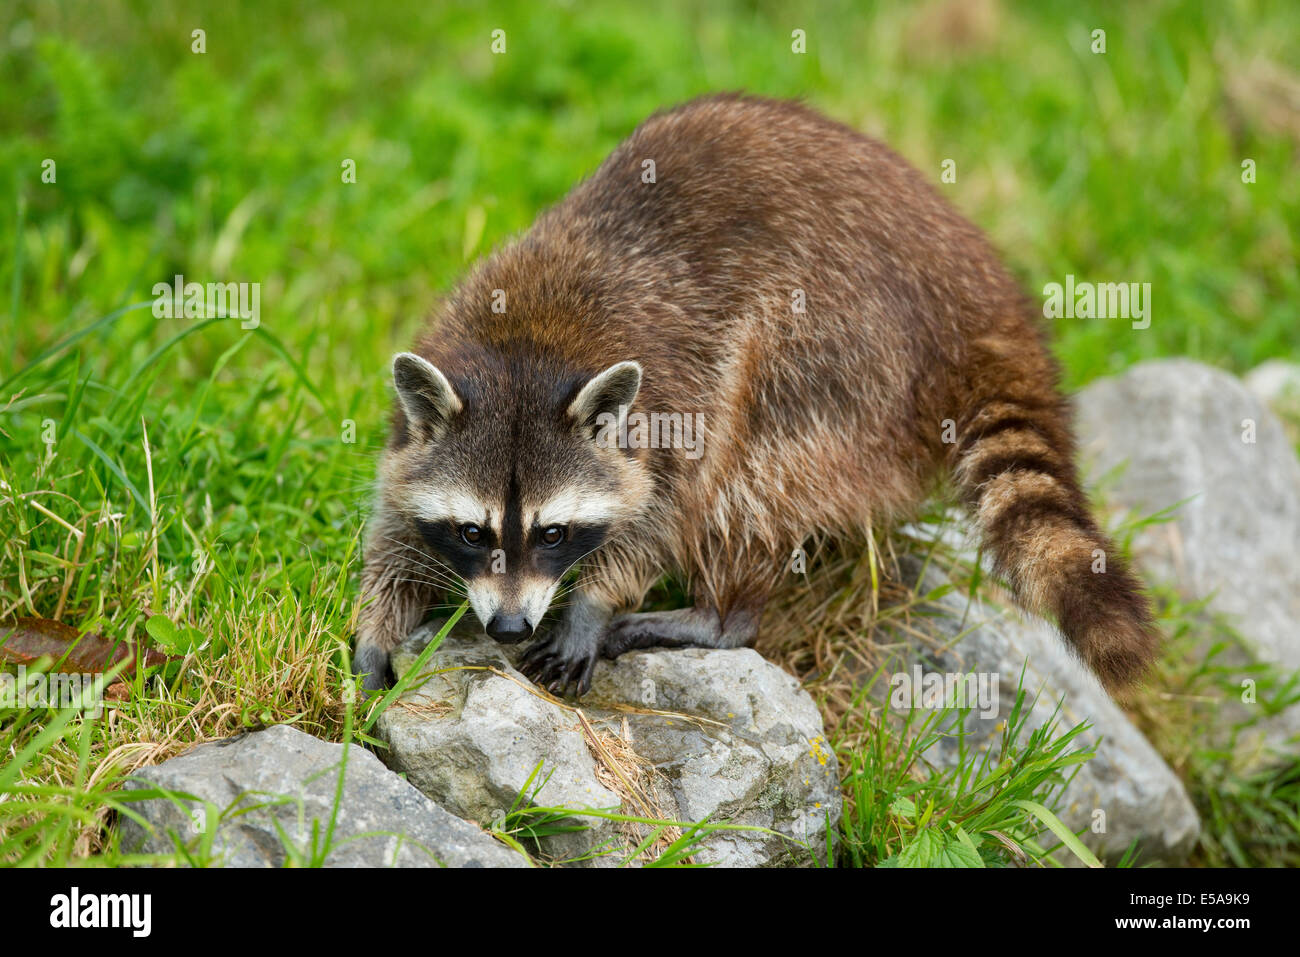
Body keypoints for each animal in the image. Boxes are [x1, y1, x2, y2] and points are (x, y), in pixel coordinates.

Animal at [353, 93, 1159, 696]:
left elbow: (665, 513)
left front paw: (594, 601)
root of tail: (978, 296)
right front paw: (375, 625)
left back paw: (721, 616)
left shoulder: (677, 399)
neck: (525, 350)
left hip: (846, 353)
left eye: (554, 534)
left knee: (754, 468)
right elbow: (394, 522)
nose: (510, 628)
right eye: (472, 532)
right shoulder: (433, 384)